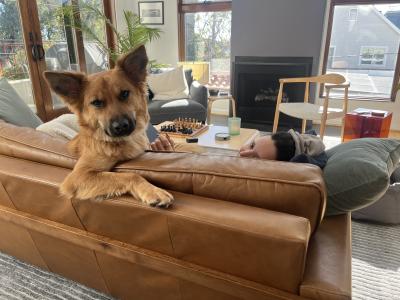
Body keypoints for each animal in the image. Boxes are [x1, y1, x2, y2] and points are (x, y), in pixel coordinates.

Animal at [43, 45, 173, 207]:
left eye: (124, 94)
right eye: (97, 103)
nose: (121, 126)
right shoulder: (79, 176)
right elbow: (130, 175)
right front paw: (153, 191)